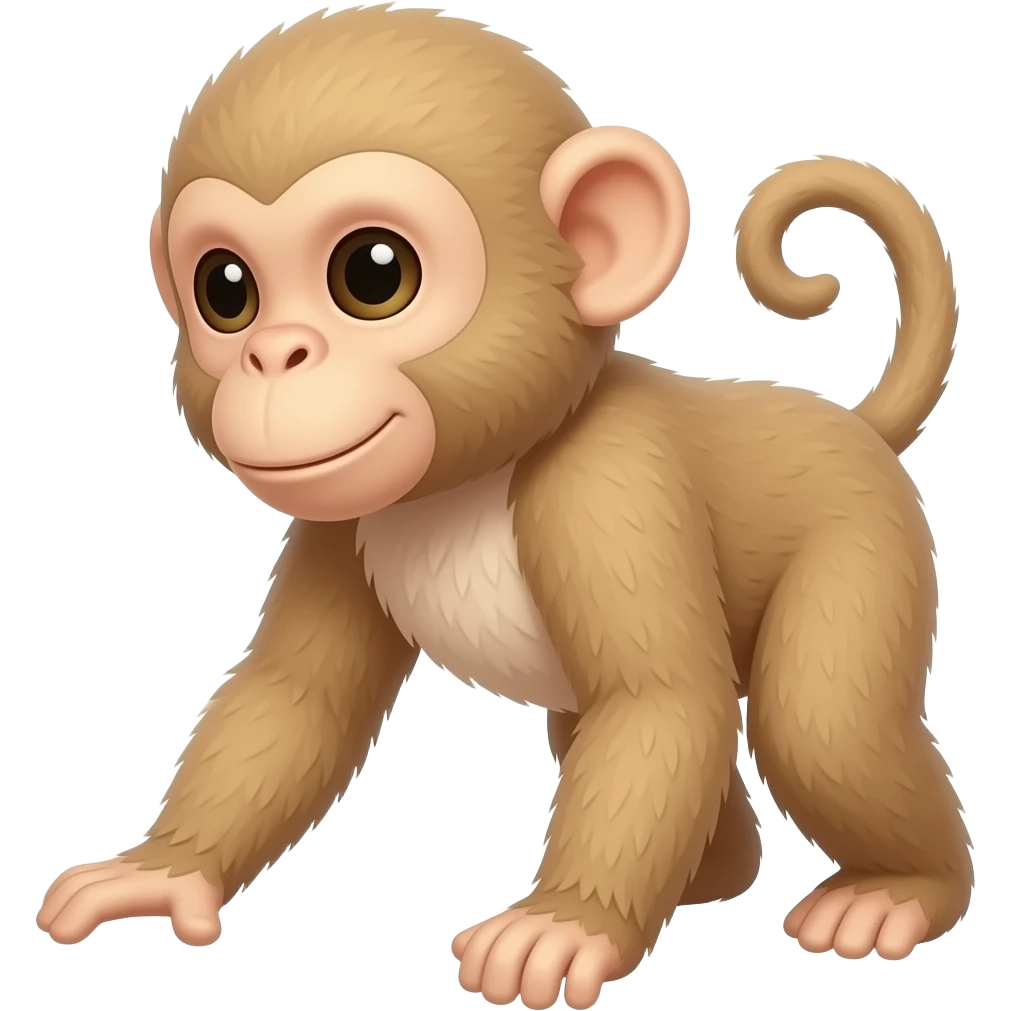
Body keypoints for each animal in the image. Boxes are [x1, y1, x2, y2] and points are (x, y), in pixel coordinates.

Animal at [35, 5, 971, 1007]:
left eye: (374, 274)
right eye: (225, 289)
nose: (271, 355)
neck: (475, 476)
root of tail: (851, 425)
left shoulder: (608, 491)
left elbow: (657, 701)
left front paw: (566, 923)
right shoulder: (339, 524)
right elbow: (295, 698)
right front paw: (161, 870)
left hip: (864, 539)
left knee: (821, 723)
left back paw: (900, 889)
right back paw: (711, 874)